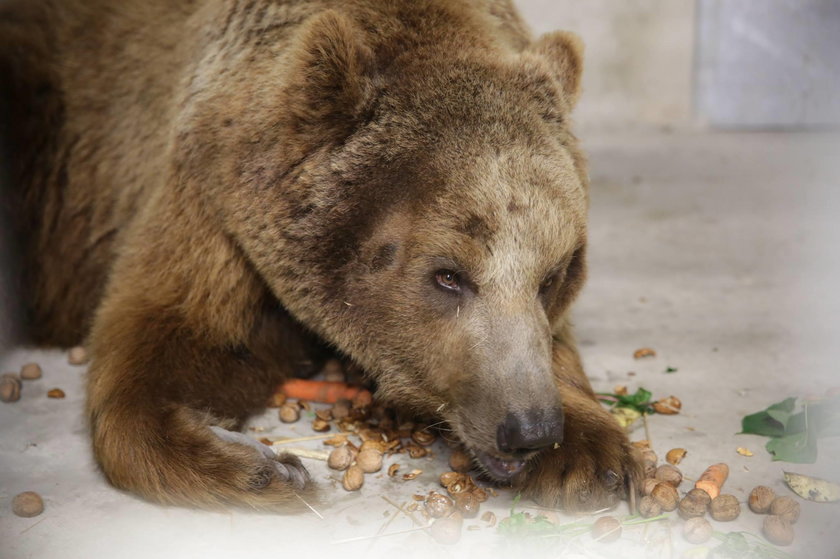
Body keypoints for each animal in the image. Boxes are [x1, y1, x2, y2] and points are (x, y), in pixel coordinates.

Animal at [1, 0, 644, 510]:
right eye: (448, 276)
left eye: (553, 275)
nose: (528, 429)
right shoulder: (211, 200)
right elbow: (167, 329)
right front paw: (261, 468)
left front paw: (589, 455)